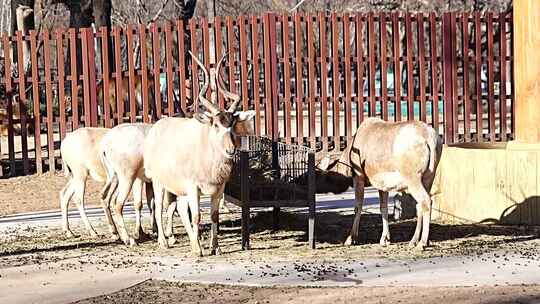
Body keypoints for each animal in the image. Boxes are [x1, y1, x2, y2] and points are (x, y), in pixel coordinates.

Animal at [143, 50, 253, 254]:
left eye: (232, 124)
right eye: (216, 125)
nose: (230, 150)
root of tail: (157, 126)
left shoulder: (218, 190)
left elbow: (214, 216)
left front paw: (214, 248)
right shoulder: (193, 188)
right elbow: (196, 216)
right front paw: (200, 250)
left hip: (180, 189)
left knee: (178, 207)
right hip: (159, 183)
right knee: (160, 207)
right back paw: (163, 241)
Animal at [314, 117, 440, 251]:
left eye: (318, 175)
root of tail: (430, 139)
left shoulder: (358, 177)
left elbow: (358, 206)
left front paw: (351, 238)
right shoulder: (383, 185)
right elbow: (383, 208)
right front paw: (385, 239)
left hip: (413, 179)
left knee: (426, 201)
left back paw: (422, 243)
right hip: (429, 178)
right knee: (420, 205)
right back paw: (414, 241)